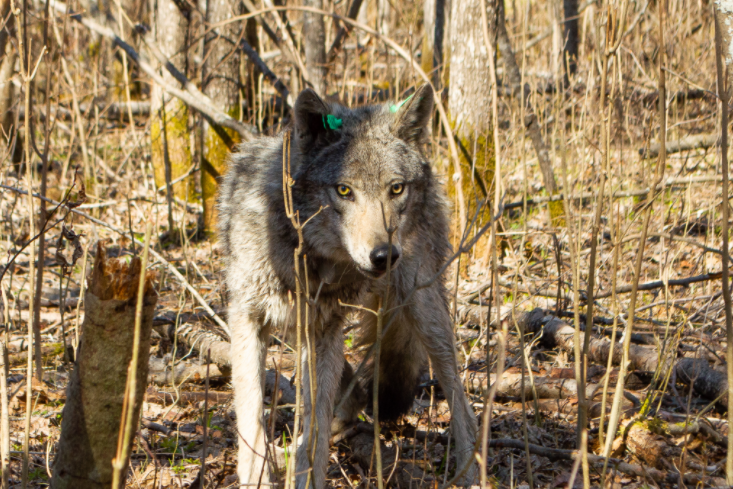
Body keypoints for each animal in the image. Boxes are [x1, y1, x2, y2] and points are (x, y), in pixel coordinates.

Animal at [217, 85, 480, 488]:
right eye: (344, 190)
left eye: (395, 188)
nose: (384, 256)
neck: (307, 257)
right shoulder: (249, 320)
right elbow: (252, 417)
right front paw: (258, 476)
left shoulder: (324, 331)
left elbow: (315, 433)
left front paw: (308, 477)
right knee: (353, 388)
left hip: (423, 309)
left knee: (459, 398)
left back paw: (470, 472)